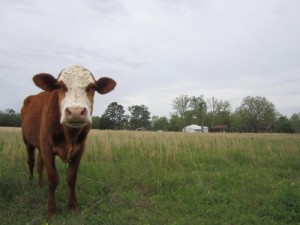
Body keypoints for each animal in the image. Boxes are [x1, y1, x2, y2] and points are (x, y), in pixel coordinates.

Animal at [20, 65, 116, 218]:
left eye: (92, 87)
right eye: (59, 86)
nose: (76, 112)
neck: (69, 136)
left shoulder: (79, 149)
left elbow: (71, 178)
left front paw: (73, 206)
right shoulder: (47, 147)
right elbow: (53, 178)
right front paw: (51, 210)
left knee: (40, 165)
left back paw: (40, 186)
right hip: (27, 141)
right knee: (31, 162)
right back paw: (31, 181)